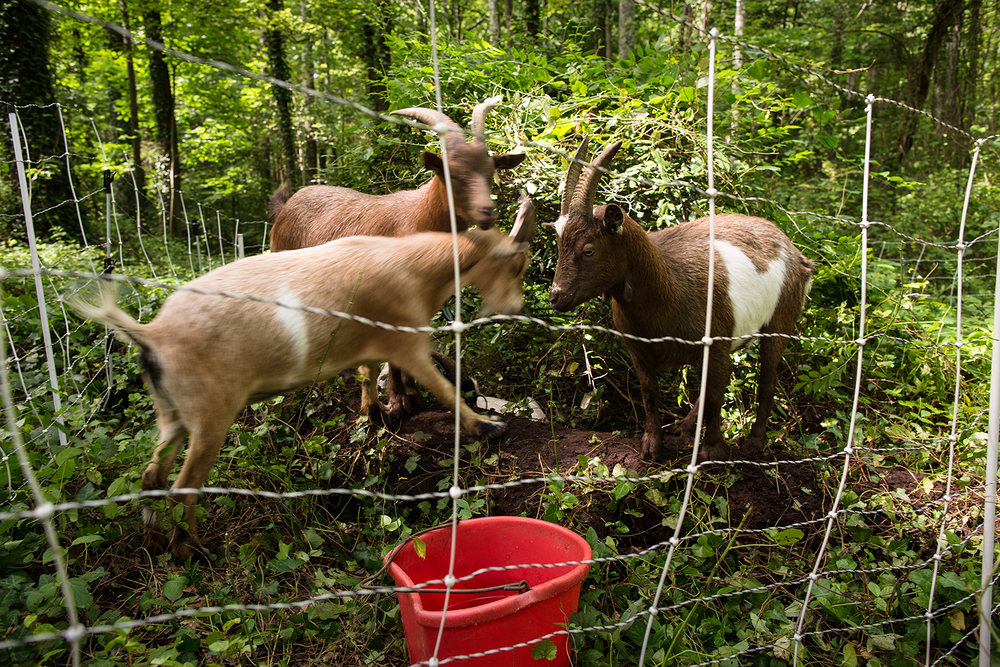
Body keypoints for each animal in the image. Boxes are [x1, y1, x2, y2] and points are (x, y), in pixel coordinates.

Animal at [68, 200, 540, 564]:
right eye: (516, 264)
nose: (516, 308)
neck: (414, 269)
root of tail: (152, 335)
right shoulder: (405, 340)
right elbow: (439, 386)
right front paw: (486, 425)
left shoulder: (371, 342)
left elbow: (368, 375)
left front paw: (374, 417)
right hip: (209, 416)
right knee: (184, 486)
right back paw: (191, 551)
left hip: (172, 413)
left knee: (152, 474)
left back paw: (152, 541)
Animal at [270, 98, 528, 422]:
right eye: (453, 175)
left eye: (490, 172)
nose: (486, 213)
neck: (418, 217)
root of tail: (284, 206)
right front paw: (397, 401)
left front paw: (413, 394)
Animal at [548, 138, 812, 462]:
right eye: (559, 243)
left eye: (588, 250)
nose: (556, 297)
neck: (668, 286)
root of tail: (797, 254)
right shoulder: (637, 347)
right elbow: (650, 393)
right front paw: (652, 446)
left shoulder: (716, 341)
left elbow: (716, 394)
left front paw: (713, 449)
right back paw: (684, 426)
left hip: (780, 320)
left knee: (767, 378)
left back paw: (753, 444)